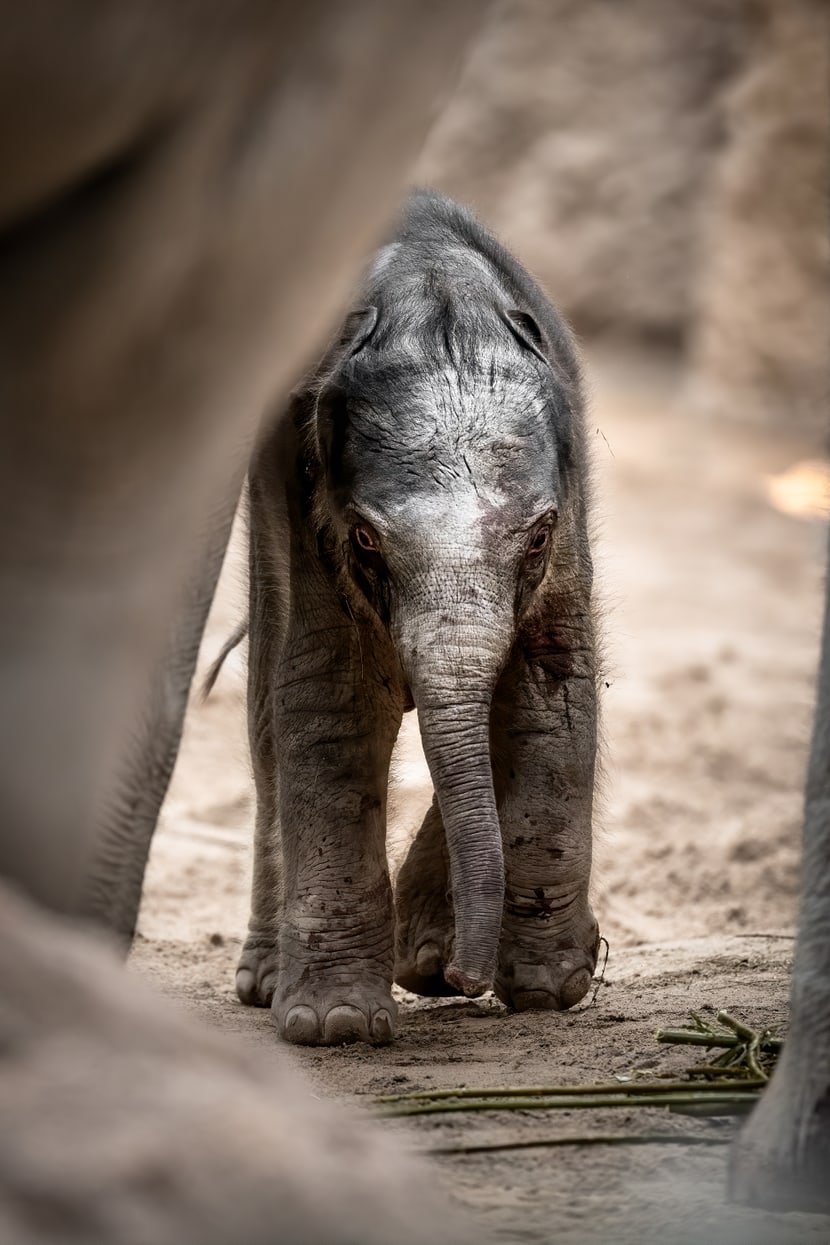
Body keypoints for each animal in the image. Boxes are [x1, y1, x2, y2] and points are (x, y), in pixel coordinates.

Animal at [236, 194, 599, 1045]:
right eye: (367, 539)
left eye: (538, 535)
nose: (468, 981)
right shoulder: (298, 499)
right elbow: (332, 698)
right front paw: (335, 1025)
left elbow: (551, 687)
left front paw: (549, 987)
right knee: (268, 722)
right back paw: (277, 979)